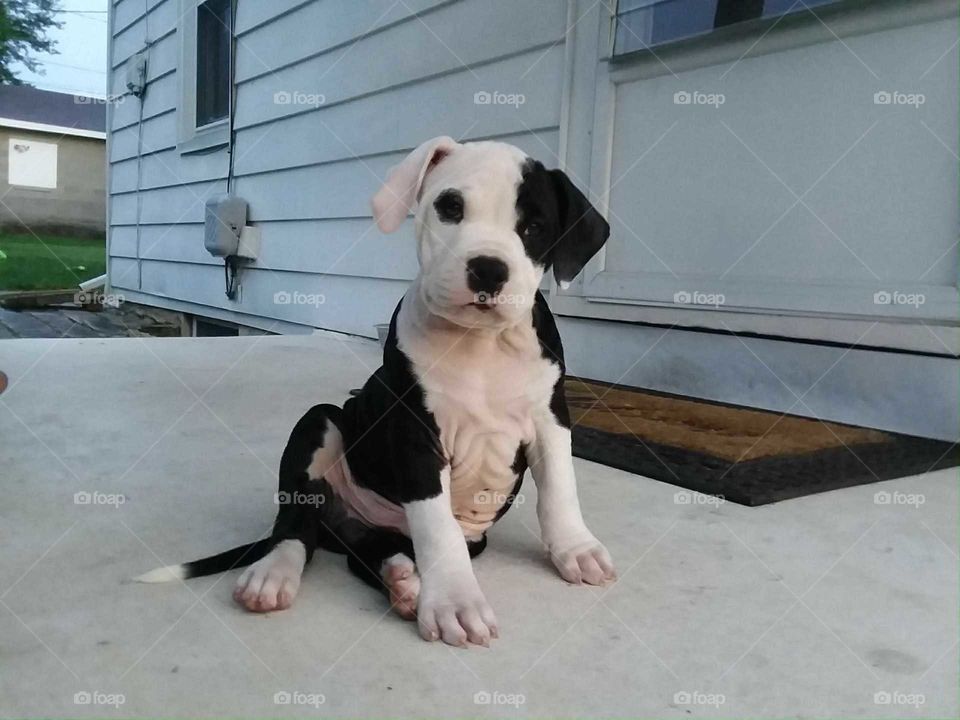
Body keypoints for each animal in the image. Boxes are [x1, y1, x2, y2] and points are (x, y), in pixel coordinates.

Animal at [135, 135, 616, 648]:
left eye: (535, 227)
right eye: (450, 207)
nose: (488, 269)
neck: (479, 344)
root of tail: (341, 525)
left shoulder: (550, 418)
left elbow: (560, 490)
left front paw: (576, 549)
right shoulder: (416, 434)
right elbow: (438, 527)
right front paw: (455, 602)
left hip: (417, 534)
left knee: (366, 553)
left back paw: (402, 582)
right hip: (319, 424)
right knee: (296, 528)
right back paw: (275, 576)